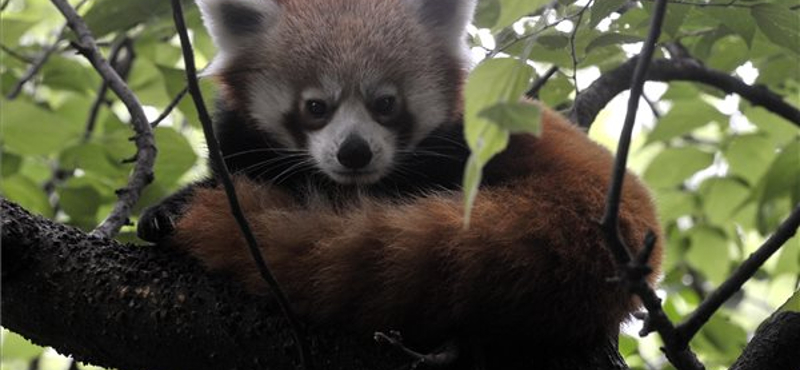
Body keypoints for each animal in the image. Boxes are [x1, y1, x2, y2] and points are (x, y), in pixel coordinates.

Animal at [144, 0, 664, 354]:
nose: (354, 152)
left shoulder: (456, 144)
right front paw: (166, 211)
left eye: (386, 103)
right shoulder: (240, 139)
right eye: (316, 106)